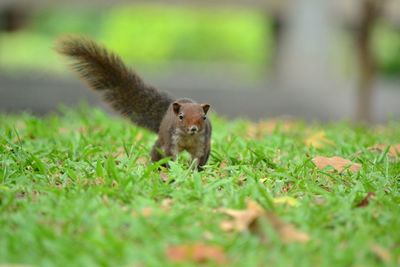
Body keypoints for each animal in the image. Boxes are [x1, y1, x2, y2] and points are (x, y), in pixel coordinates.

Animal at [57, 36, 212, 171]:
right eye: (180, 117)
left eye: (203, 117)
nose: (193, 128)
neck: (188, 137)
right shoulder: (171, 142)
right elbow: (171, 157)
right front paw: (173, 170)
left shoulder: (202, 143)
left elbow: (198, 159)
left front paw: (193, 172)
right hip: (162, 140)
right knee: (157, 151)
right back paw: (155, 165)